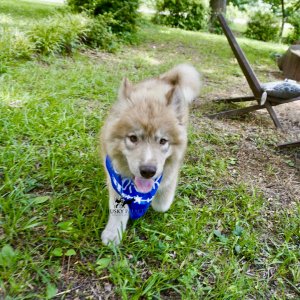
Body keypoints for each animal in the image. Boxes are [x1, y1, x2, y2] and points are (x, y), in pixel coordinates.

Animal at [101, 63, 202, 244]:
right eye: (133, 138)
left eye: (163, 141)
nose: (148, 171)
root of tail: (166, 79)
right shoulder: (114, 178)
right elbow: (119, 208)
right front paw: (113, 233)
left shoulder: (170, 171)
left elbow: (162, 204)